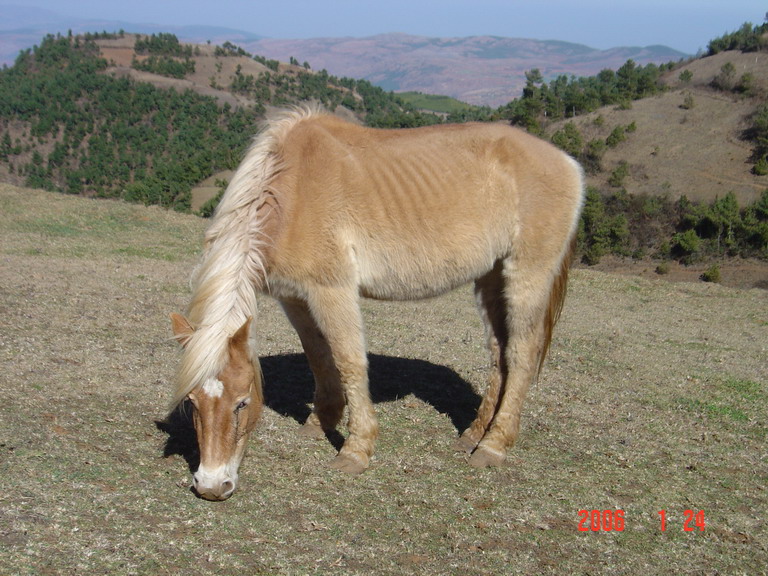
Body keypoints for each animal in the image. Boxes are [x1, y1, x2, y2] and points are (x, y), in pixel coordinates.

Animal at [171, 107, 584, 500]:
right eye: (191, 402)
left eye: (242, 402)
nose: (211, 485)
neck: (291, 192)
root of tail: (567, 162)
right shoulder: (295, 298)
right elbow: (318, 356)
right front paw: (320, 421)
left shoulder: (333, 290)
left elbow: (349, 361)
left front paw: (356, 450)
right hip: (491, 276)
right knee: (500, 354)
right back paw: (473, 434)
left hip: (526, 275)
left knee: (521, 353)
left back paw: (493, 446)